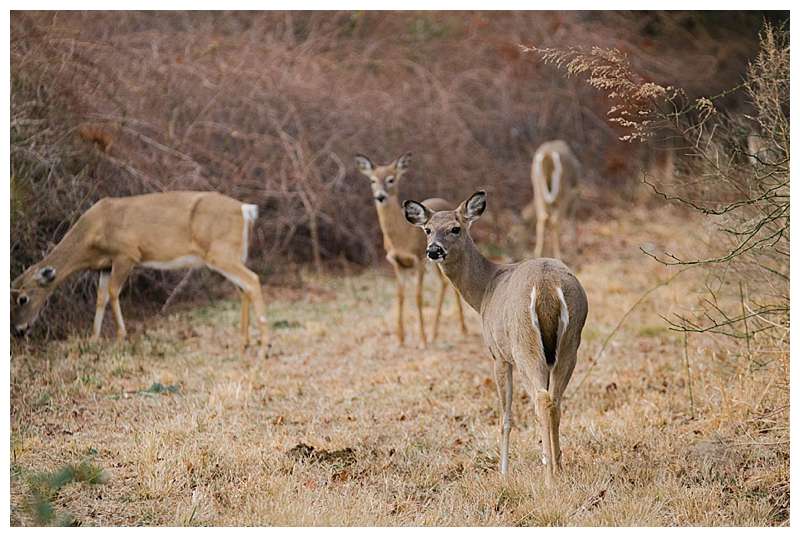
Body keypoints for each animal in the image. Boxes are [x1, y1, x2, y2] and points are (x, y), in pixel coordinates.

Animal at [10, 191, 270, 358]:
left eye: (23, 298)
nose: (18, 329)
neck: (92, 234)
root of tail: (245, 210)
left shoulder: (127, 254)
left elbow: (113, 292)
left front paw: (120, 338)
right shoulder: (104, 266)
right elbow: (100, 298)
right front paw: (93, 340)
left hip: (221, 253)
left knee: (253, 281)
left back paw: (262, 348)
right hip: (231, 254)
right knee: (243, 290)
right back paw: (244, 344)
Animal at [354, 152, 468, 348]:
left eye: (391, 179)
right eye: (372, 180)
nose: (380, 196)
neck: (402, 236)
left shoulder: (418, 260)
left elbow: (418, 296)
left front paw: (422, 340)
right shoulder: (397, 263)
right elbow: (400, 297)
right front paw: (400, 340)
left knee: (451, 284)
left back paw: (461, 330)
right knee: (444, 282)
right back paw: (435, 333)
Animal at [406, 192, 588, 478]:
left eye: (455, 229)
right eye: (428, 229)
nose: (433, 250)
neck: (485, 290)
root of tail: (547, 286)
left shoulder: (498, 355)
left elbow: (505, 417)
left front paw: (503, 471)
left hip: (524, 345)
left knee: (542, 400)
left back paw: (549, 476)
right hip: (570, 344)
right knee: (555, 400)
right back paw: (557, 466)